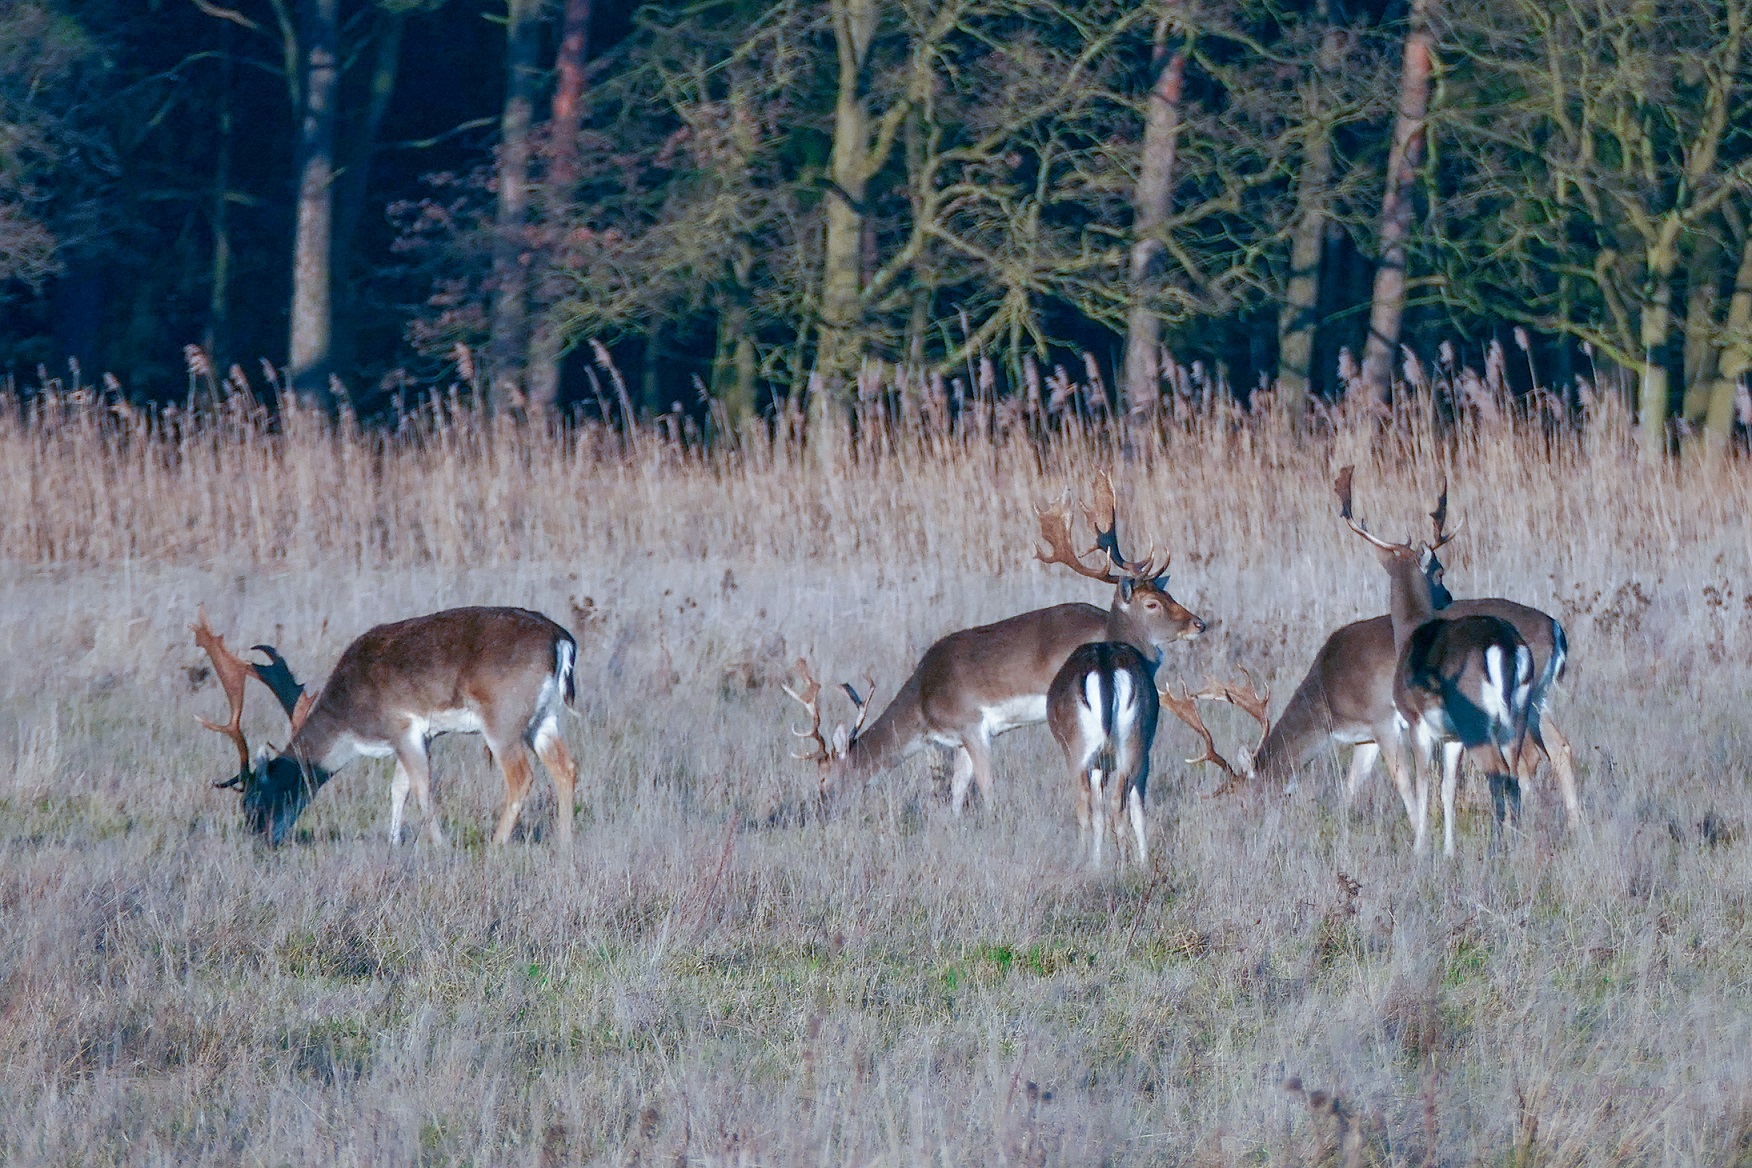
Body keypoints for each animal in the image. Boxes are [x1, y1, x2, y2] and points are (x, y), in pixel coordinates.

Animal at [193, 609, 581, 844]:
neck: (350, 721)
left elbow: (421, 788)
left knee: (521, 777)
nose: (259, 842)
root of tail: (561, 639)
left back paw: (497, 844)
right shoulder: (423, 735)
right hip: (543, 717)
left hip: (502, 716)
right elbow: (399, 788)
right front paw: (394, 842)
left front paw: (438, 844)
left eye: (253, 803)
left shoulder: (401, 726)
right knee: (566, 767)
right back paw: (564, 843)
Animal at [791, 476, 1212, 812]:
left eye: (823, 776)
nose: (821, 804)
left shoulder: (971, 725)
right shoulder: (960, 739)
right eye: (1157, 600)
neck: (924, 704)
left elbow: (986, 788)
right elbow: (957, 792)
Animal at [1044, 644, 1156, 865]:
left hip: (1078, 752)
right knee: (1113, 802)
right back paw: (1119, 863)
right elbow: (1124, 812)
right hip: (1131, 747)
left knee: (1086, 802)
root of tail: (1105, 666)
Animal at [1338, 469, 1534, 858]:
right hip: (1517, 714)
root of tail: (1504, 646)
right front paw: (1448, 850)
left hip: (1476, 716)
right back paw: (1516, 846)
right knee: (1514, 775)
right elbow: (1448, 789)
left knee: (1498, 773)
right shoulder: (1451, 736)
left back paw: (1496, 848)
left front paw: (1420, 847)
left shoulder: (1416, 720)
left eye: (1439, 569)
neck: (1409, 632)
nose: (1448, 595)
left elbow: (1422, 784)